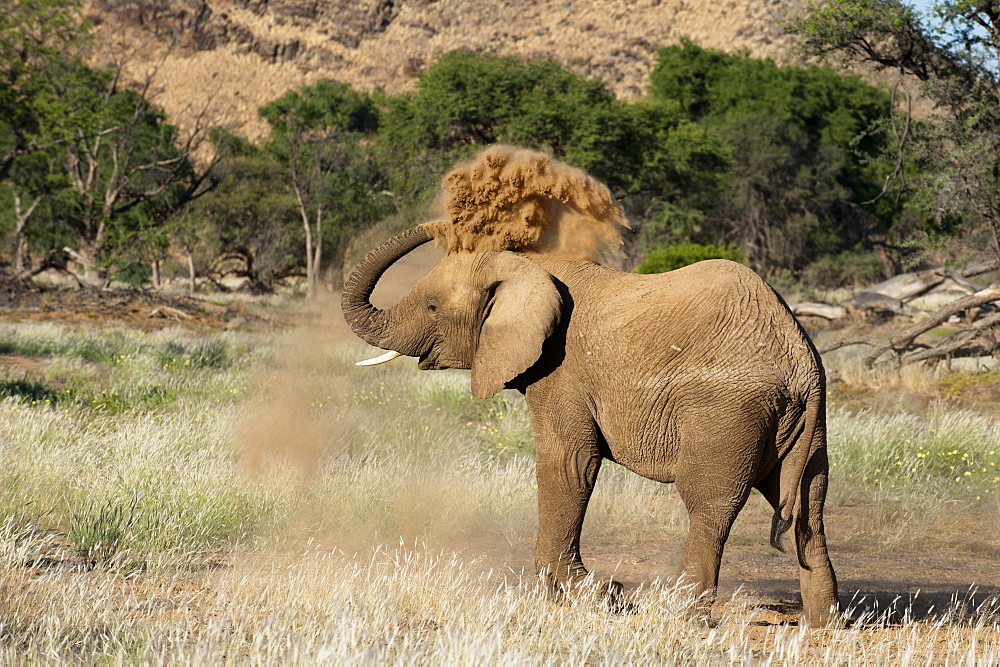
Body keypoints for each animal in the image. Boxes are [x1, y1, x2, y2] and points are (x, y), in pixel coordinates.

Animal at [340, 224, 840, 628]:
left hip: (727, 410)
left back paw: (680, 616)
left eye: (431, 306)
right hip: (801, 424)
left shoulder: (561, 369)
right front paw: (593, 594)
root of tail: (801, 362)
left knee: (710, 505)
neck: (530, 265)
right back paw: (823, 625)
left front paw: (586, 595)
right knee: (809, 506)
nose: (435, 224)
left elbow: (569, 462)